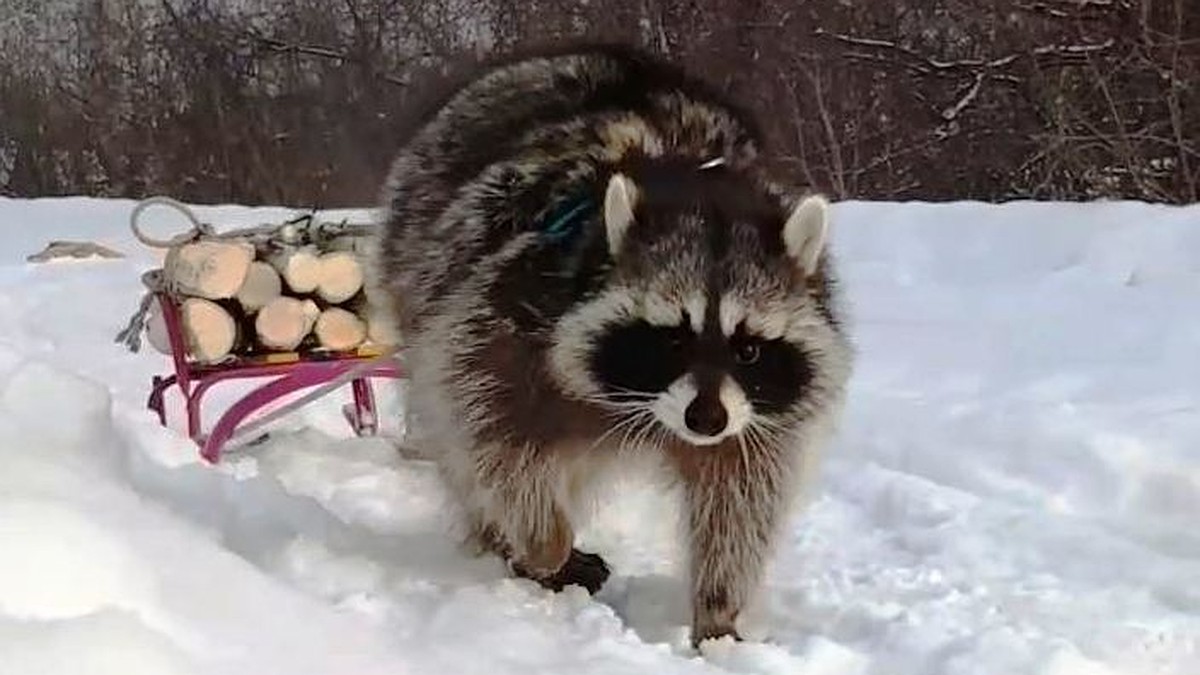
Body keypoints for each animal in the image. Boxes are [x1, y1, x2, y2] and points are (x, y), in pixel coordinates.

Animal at [374, 42, 854, 638]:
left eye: (748, 348)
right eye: (672, 339)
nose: (705, 419)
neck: (704, 194)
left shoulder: (760, 412)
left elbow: (743, 493)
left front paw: (719, 608)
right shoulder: (505, 308)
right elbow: (492, 432)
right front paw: (542, 537)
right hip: (420, 263)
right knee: (460, 439)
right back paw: (506, 539)